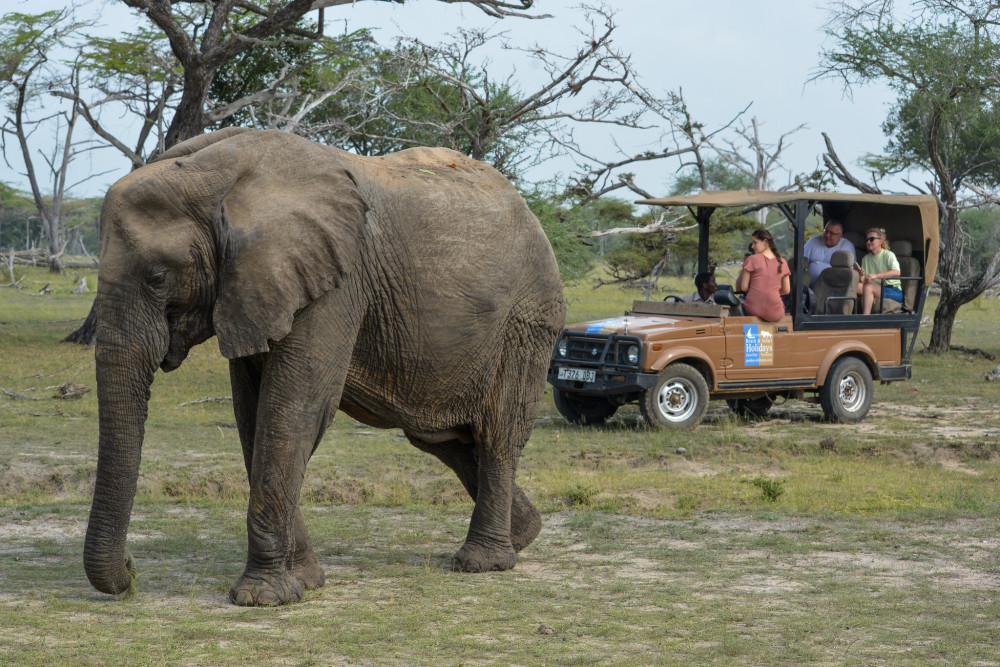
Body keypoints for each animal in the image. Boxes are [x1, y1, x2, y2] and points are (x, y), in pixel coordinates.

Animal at [86, 128, 568, 608]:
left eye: (157, 277)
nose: (131, 571)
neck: (217, 175)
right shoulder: (255, 290)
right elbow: (254, 419)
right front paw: (306, 581)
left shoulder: (335, 283)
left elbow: (293, 411)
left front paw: (262, 597)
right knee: (440, 437)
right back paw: (524, 533)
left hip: (527, 321)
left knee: (498, 433)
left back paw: (483, 562)